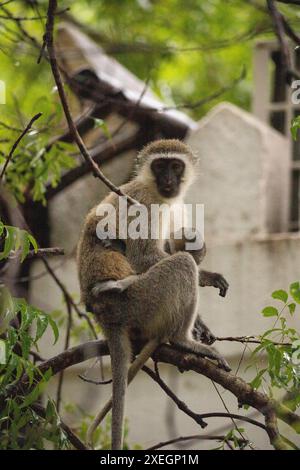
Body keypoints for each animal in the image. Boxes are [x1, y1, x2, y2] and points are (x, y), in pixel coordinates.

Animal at [77, 139, 230, 448]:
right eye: (160, 166)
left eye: (175, 166)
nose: (168, 180)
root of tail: (105, 316)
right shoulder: (146, 204)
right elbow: (144, 256)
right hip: (140, 299)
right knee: (181, 264)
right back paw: (182, 340)